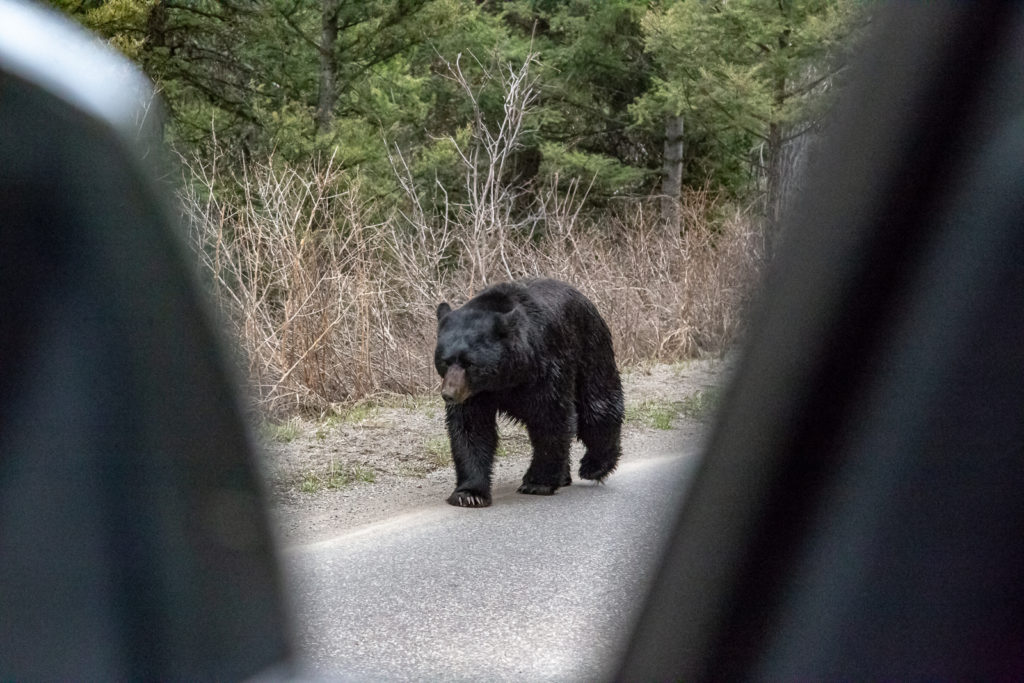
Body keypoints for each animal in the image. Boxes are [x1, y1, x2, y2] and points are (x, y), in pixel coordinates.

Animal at [432, 278, 622, 507]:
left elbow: (551, 418)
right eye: (445, 361)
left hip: (590, 348)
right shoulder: (475, 394)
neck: (506, 376)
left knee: (597, 405)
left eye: (469, 363)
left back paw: (595, 465)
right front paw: (469, 493)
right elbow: (471, 428)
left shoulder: (546, 368)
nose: (449, 394)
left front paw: (537, 482)